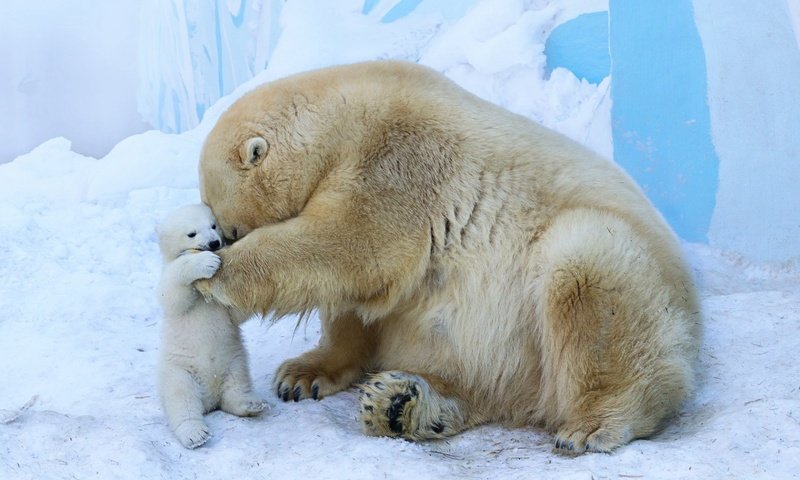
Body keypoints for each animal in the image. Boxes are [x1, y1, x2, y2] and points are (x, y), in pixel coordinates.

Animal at [198, 61, 700, 454]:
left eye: (228, 228)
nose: (218, 241)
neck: (343, 118)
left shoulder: (401, 159)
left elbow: (350, 245)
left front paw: (213, 277)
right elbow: (358, 299)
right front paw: (302, 375)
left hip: (623, 277)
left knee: (587, 272)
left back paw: (594, 423)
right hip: (505, 357)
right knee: (477, 380)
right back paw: (401, 405)